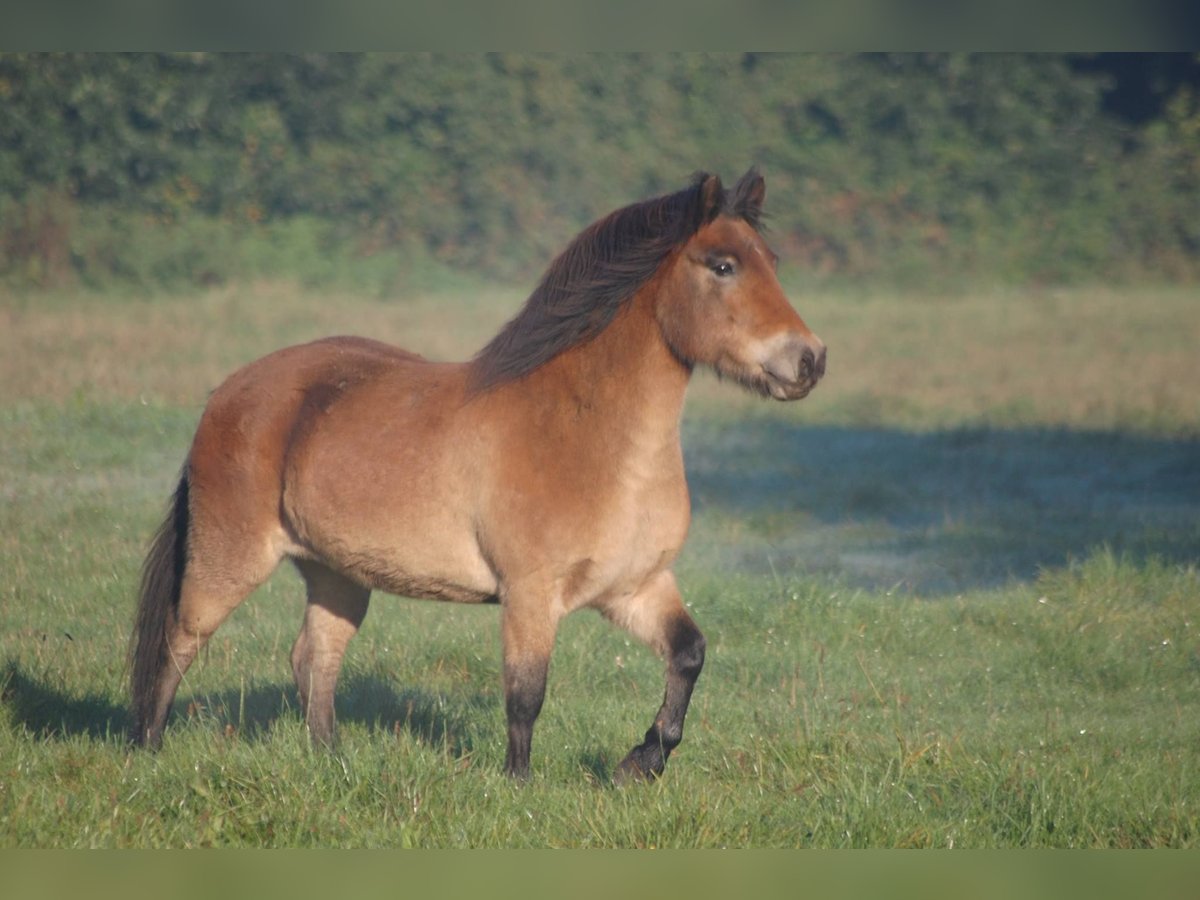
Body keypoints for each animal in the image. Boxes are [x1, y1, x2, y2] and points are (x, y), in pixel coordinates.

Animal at [131, 168, 825, 782]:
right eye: (722, 265)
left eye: (771, 259)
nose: (809, 360)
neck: (592, 439)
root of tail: (228, 391)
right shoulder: (529, 596)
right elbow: (526, 696)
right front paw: (518, 788)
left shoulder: (636, 588)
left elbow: (689, 655)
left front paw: (641, 763)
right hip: (231, 558)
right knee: (178, 641)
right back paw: (148, 753)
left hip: (336, 574)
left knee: (313, 661)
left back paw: (334, 765)